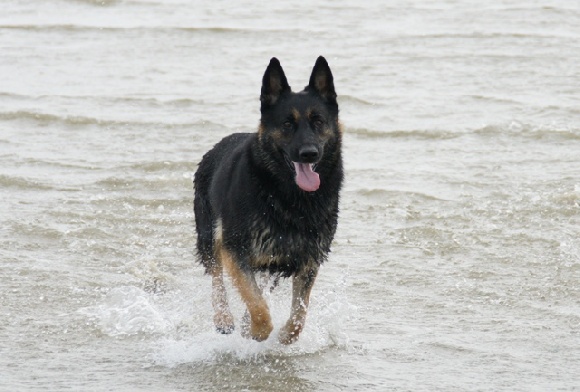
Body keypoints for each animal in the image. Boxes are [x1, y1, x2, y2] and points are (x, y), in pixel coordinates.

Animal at [193, 56, 342, 344]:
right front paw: (257, 331)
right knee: (217, 277)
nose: (309, 153)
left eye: (318, 121)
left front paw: (284, 335)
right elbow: (257, 306)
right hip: (209, 236)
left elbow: (298, 315)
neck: (288, 196)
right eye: (287, 124)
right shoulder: (235, 249)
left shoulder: (307, 259)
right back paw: (224, 318)